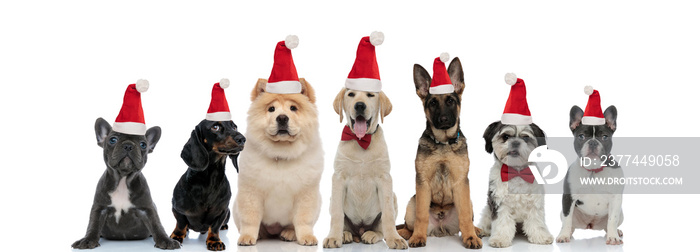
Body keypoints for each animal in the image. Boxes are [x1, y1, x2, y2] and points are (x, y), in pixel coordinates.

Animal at [396, 58, 484, 249]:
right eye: (433, 103)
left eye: (450, 101)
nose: (443, 119)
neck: (443, 143)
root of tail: (441, 225)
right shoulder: (422, 184)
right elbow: (422, 215)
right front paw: (418, 237)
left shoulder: (461, 183)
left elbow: (465, 216)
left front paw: (470, 237)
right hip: (412, 202)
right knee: (409, 223)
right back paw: (406, 233)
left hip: (469, 199)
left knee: (467, 217)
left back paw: (476, 230)